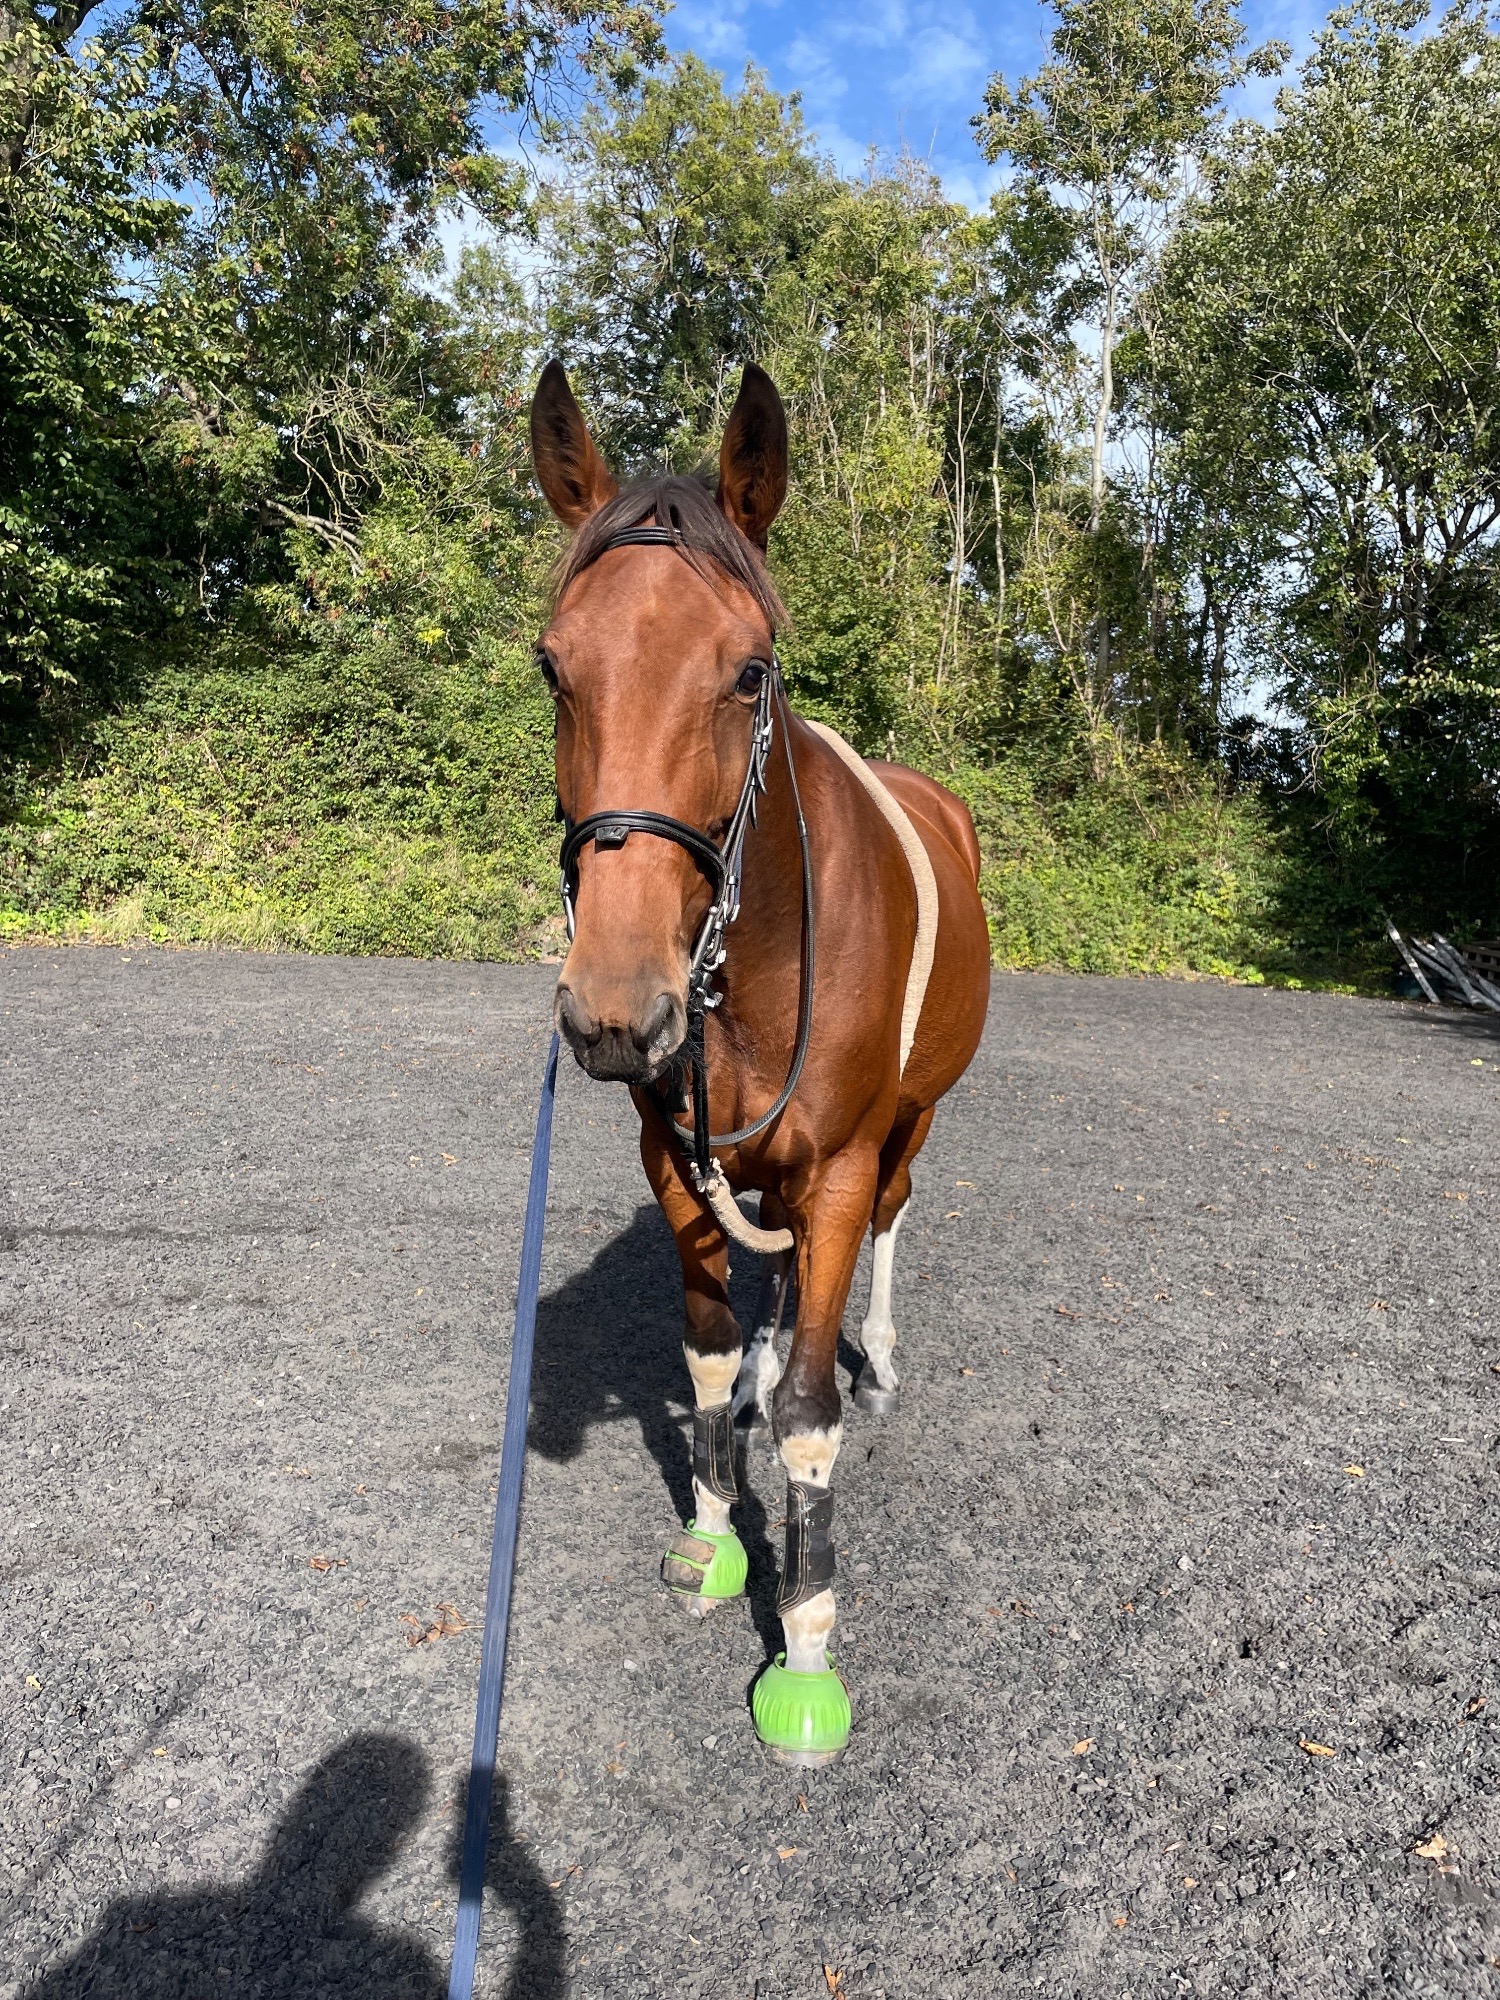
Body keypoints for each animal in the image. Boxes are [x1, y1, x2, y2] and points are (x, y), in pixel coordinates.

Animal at [530, 358, 991, 1764]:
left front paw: (805, 1641)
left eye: (746, 672)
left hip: (910, 1125)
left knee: (890, 1223)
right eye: (553, 664)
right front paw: (714, 1537)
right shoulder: (673, 1159)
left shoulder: (838, 1161)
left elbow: (808, 1417)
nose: (614, 1010)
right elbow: (710, 1355)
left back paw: (875, 1355)